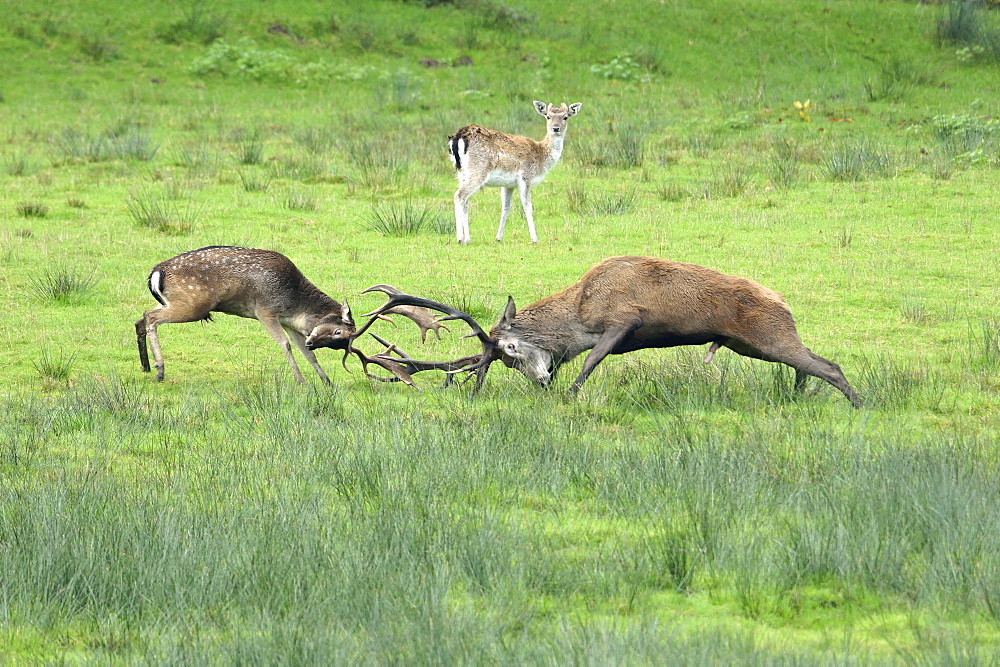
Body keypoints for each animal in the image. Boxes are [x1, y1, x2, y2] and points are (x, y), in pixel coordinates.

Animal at [356, 258, 864, 408]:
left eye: (511, 348)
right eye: (506, 362)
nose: (542, 381)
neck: (581, 310)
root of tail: (784, 303)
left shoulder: (623, 318)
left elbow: (591, 359)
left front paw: (572, 393)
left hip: (768, 335)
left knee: (829, 364)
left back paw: (860, 403)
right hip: (752, 346)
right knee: (808, 365)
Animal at [450, 99, 584, 245]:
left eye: (565, 117)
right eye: (548, 116)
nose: (556, 128)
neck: (541, 156)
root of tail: (459, 136)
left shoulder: (508, 184)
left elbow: (506, 207)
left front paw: (498, 237)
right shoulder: (526, 176)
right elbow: (527, 206)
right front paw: (534, 238)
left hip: (461, 172)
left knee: (465, 201)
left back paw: (465, 238)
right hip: (478, 169)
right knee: (460, 195)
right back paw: (461, 238)